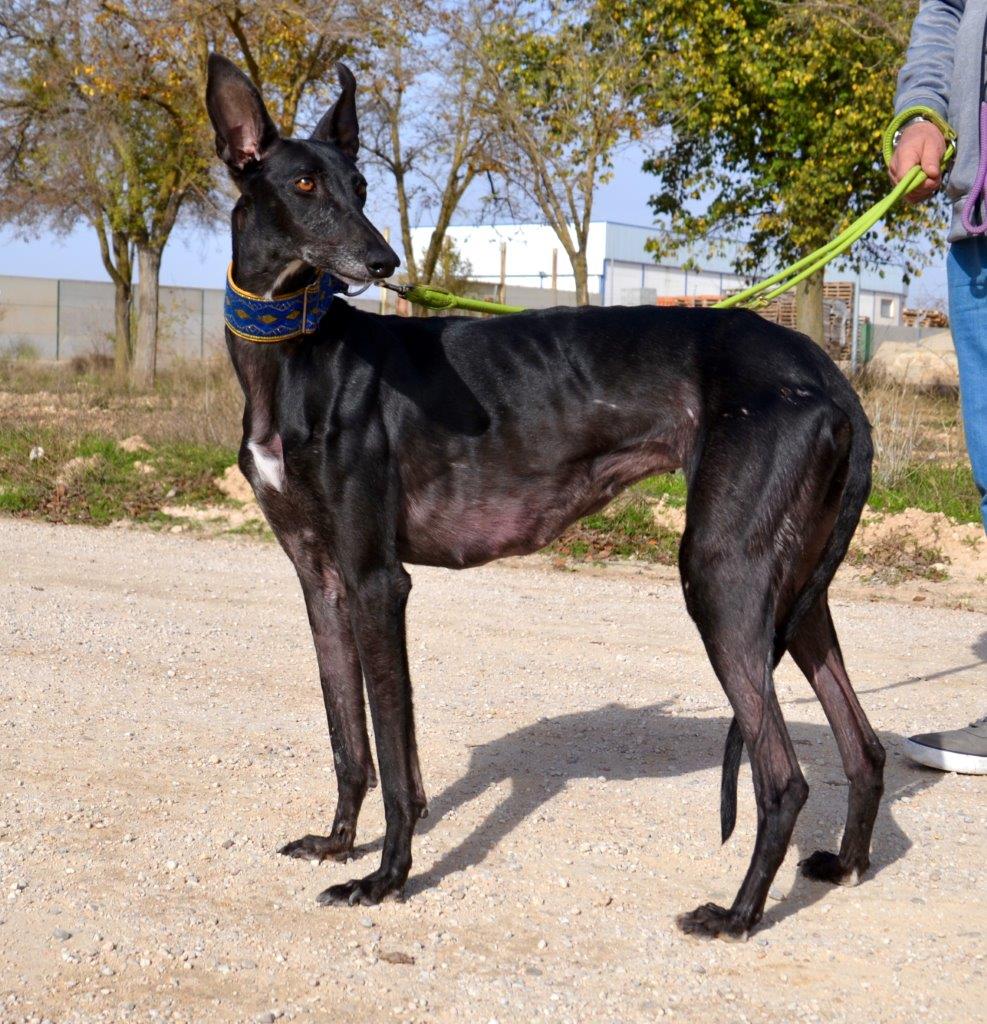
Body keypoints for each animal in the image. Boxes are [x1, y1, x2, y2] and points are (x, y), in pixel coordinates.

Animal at [205, 54, 888, 937]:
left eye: (359, 184)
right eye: (305, 184)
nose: (382, 260)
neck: (296, 352)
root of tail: (826, 373)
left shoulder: (376, 582)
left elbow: (394, 757)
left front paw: (384, 879)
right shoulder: (320, 580)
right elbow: (348, 738)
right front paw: (335, 844)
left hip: (721, 574)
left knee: (783, 777)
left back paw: (736, 915)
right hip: (796, 585)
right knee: (862, 746)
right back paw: (842, 863)